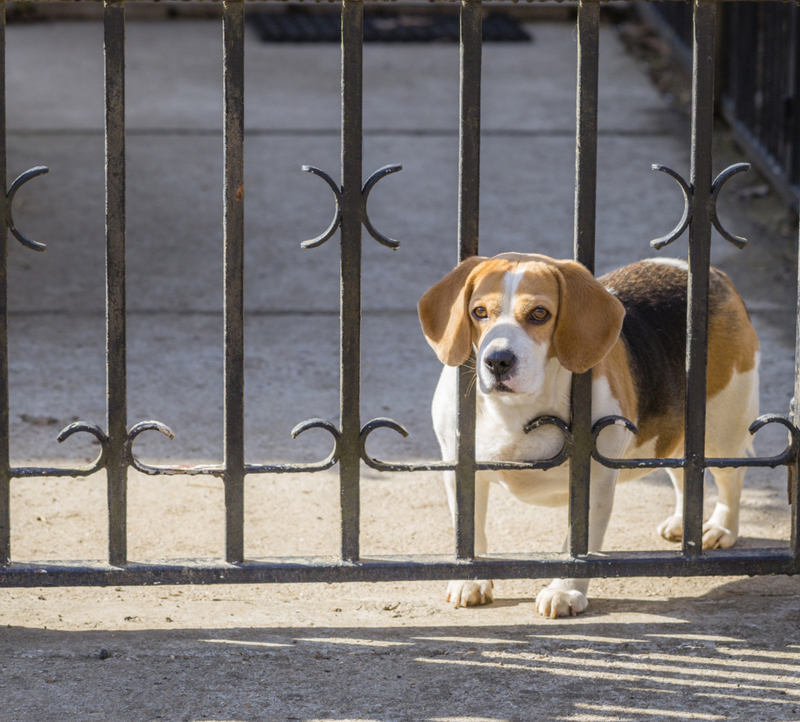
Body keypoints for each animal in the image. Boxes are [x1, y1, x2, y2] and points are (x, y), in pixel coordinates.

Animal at [422, 252, 760, 612]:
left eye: (539, 313)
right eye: (479, 312)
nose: (498, 361)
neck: (517, 409)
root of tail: (711, 274)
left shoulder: (595, 479)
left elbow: (579, 542)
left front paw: (565, 590)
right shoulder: (460, 468)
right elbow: (470, 527)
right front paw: (470, 580)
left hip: (722, 429)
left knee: (731, 477)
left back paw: (721, 528)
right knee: (685, 472)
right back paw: (684, 524)